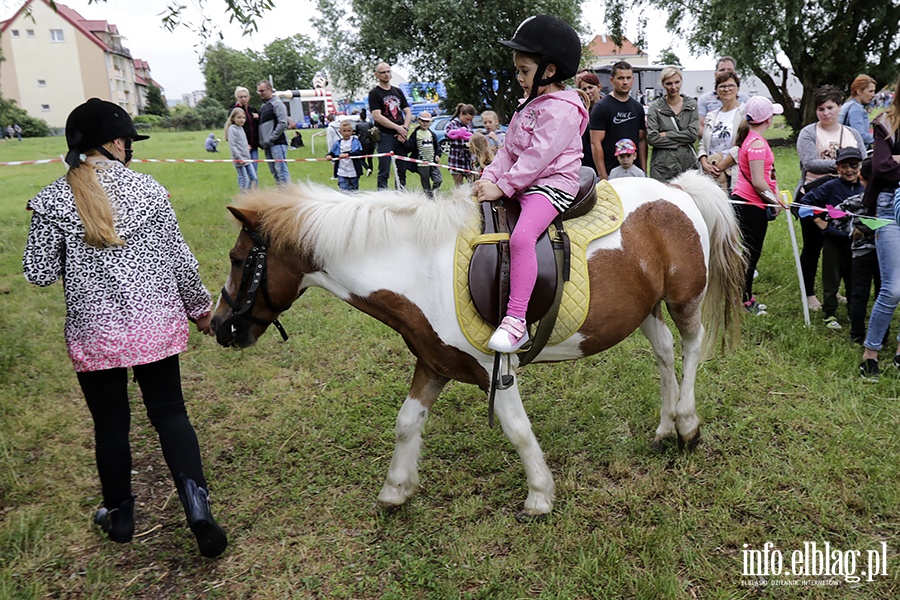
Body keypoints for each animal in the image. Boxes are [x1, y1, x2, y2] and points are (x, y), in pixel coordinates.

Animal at [213, 170, 744, 520]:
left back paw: (687, 424)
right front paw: (396, 490)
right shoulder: (434, 362)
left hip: (684, 298)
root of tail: (676, 190)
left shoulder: (495, 371)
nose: (218, 326)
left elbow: (518, 431)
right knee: (664, 354)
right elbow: (407, 423)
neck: (417, 267)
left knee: (691, 348)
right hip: (646, 307)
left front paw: (539, 495)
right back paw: (665, 426)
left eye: (238, 259)